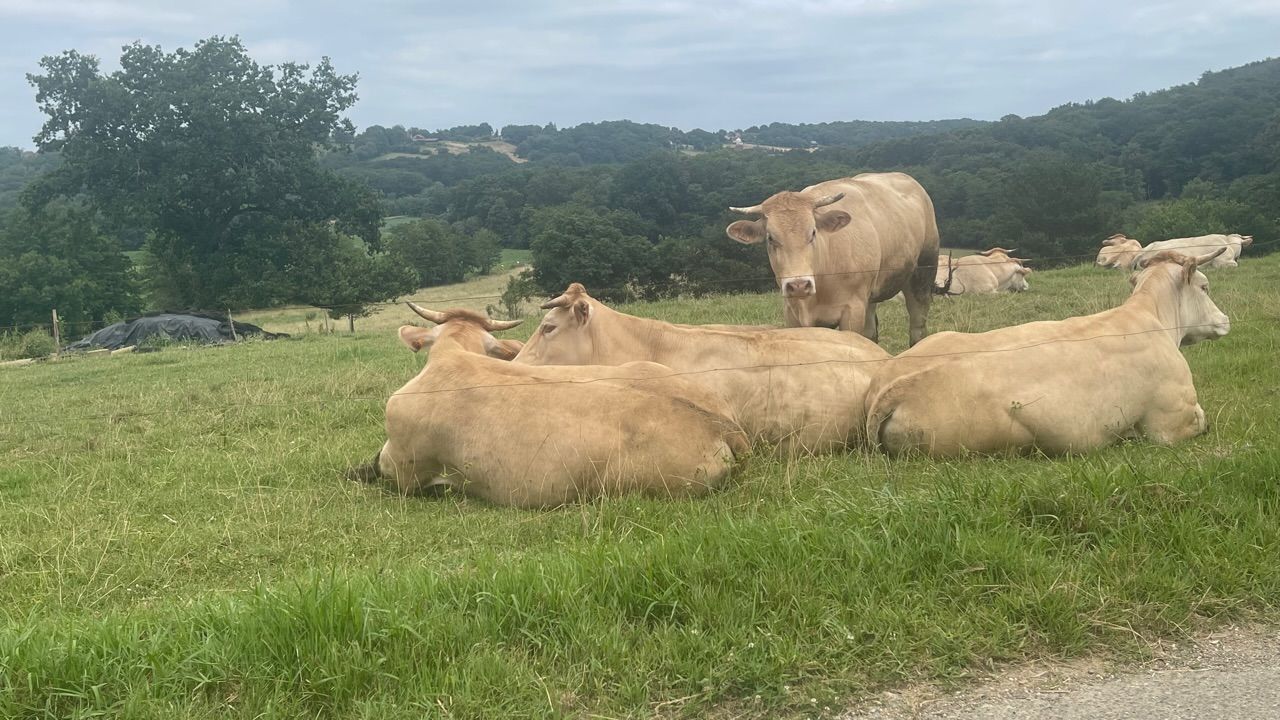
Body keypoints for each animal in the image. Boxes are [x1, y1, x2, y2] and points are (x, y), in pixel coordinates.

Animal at [732, 170, 942, 345]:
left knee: (917, 323)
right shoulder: (791, 313)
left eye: (813, 232)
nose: (799, 285)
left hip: (923, 273)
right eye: (770, 238)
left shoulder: (852, 310)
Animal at [865, 248, 1233, 453]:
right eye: (1205, 287)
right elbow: (1201, 422)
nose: (1225, 320)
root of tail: (895, 387)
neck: (1150, 317)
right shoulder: (1171, 423)